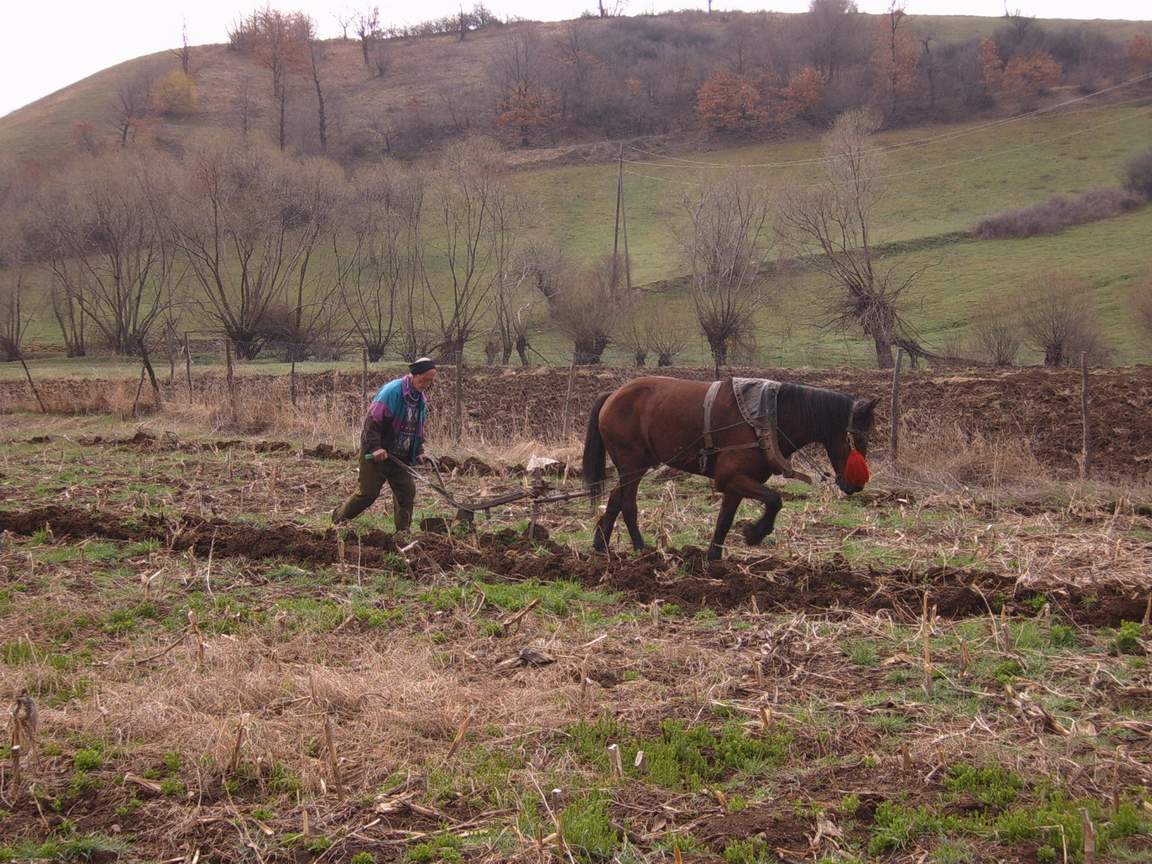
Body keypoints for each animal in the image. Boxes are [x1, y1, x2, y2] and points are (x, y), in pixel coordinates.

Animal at [580, 377, 875, 562]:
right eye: (857, 438)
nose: (856, 485)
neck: (767, 418)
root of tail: (612, 395)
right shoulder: (730, 478)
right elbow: (774, 499)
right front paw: (754, 533)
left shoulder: (738, 483)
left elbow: (725, 520)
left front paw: (714, 557)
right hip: (632, 464)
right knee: (628, 504)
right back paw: (642, 549)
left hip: (633, 466)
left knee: (615, 499)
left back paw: (601, 545)